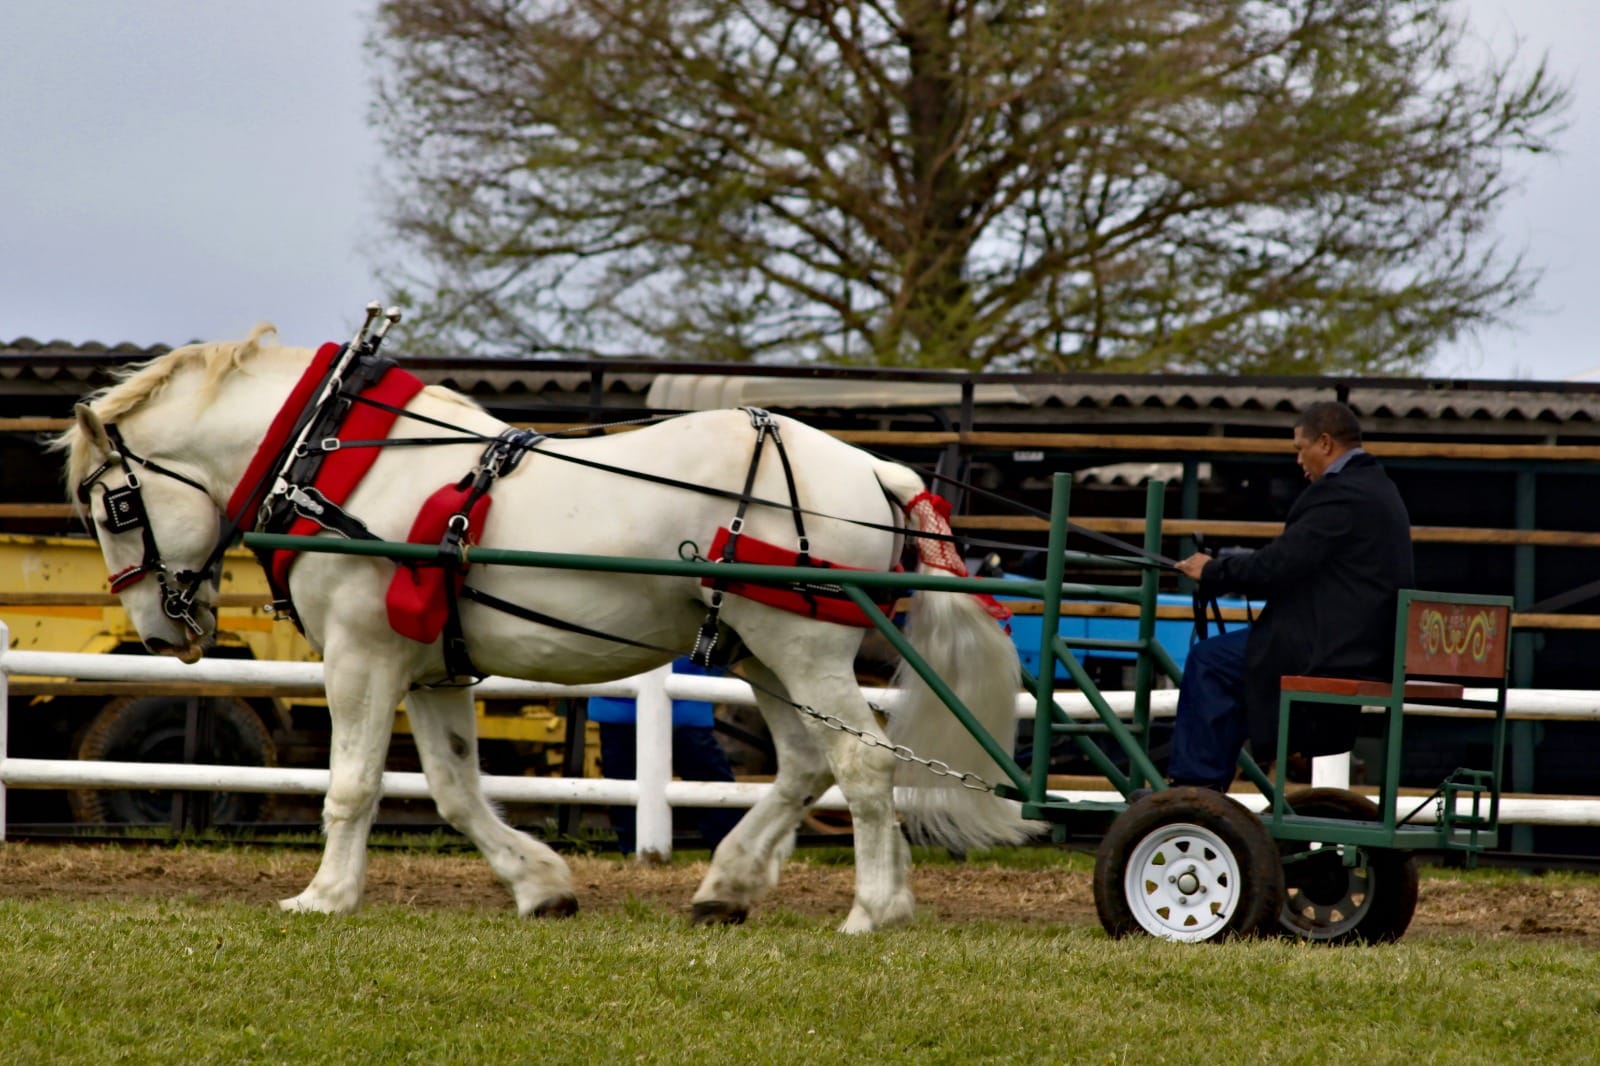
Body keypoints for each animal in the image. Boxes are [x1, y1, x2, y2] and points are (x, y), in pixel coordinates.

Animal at [56, 323, 1030, 928]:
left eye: (112, 505)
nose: (161, 632)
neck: (336, 455)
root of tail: (874, 469)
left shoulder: (362, 659)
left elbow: (353, 785)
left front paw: (325, 897)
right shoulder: (435, 669)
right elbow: (453, 788)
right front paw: (541, 886)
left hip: (805, 651)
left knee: (864, 766)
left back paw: (872, 909)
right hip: (762, 655)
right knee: (804, 766)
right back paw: (729, 884)